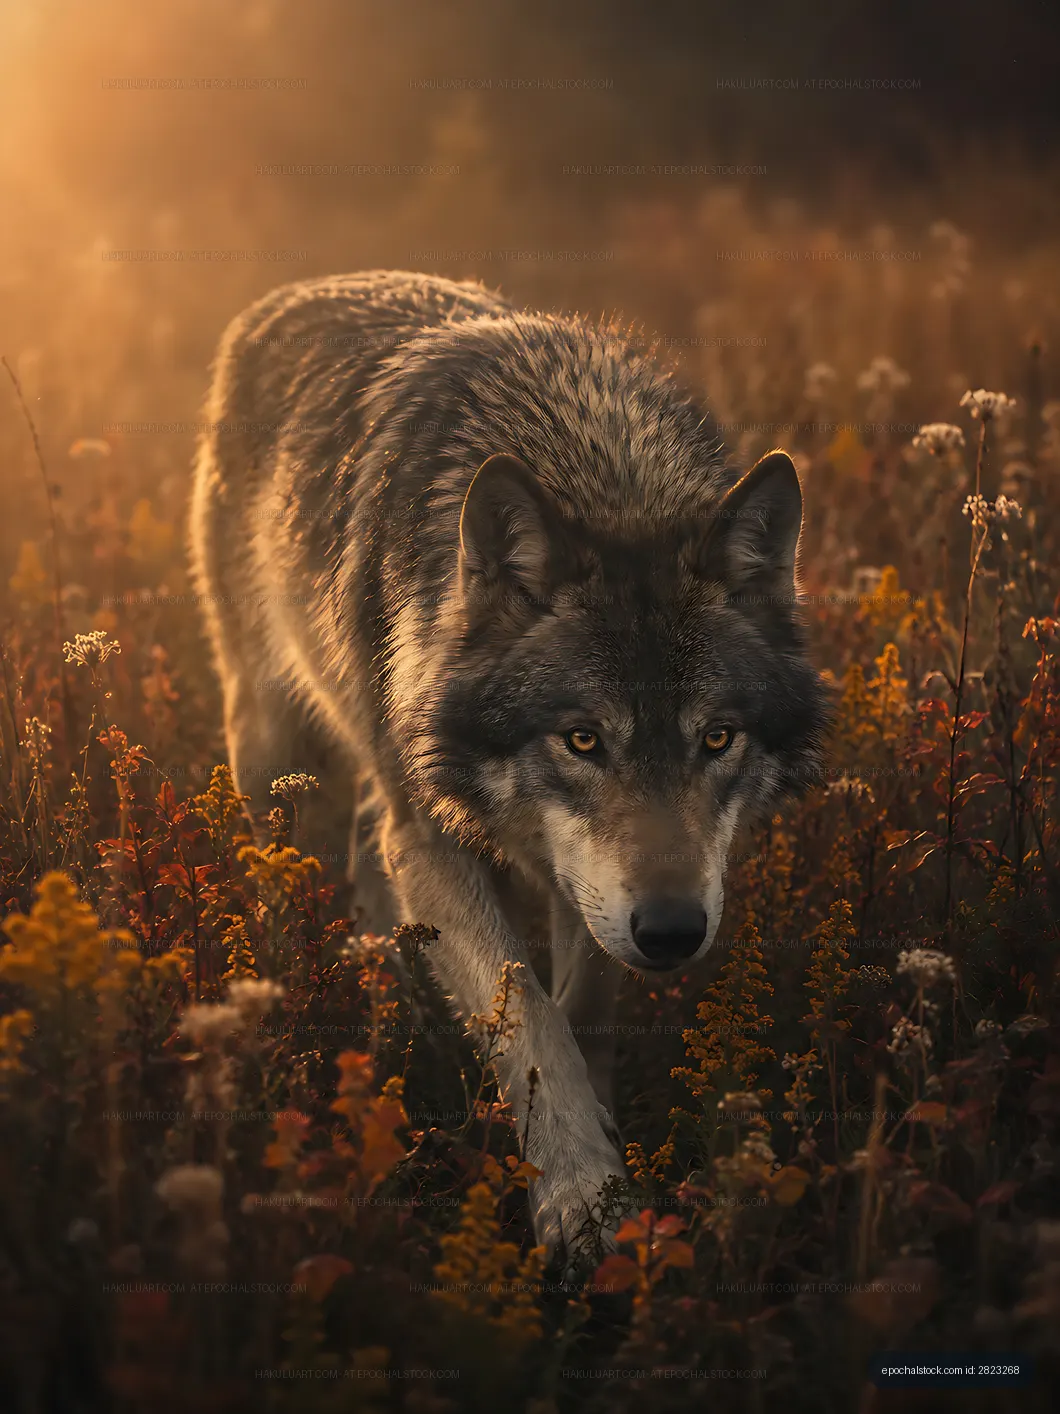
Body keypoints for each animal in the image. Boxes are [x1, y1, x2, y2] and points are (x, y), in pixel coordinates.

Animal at [188, 270, 828, 1263]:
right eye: (582, 740)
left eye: (717, 739)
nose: (674, 932)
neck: (596, 468)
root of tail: (296, 290)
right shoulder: (436, 836)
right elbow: (525, 1005)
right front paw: (580, 1196)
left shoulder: (591, 886)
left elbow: (583, 999)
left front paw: (601, 1148)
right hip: (271, 743)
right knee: (286, 870)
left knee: (370, 850)